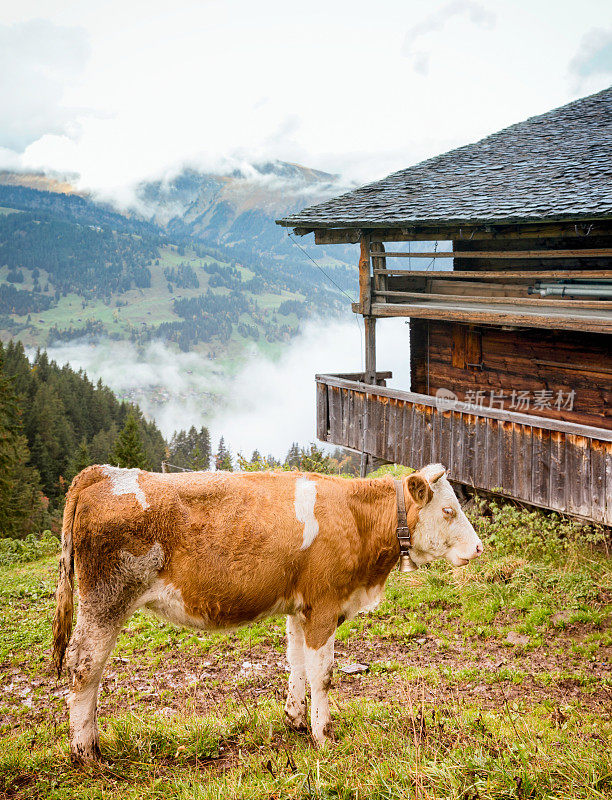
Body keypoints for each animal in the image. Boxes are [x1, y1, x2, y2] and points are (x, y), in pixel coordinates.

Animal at [52, 462, 482, 764]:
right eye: (448, 510)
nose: (478, 548)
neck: (357, 520)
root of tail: (105, 473)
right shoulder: (325, 605)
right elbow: (323, 675)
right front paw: (324, 735)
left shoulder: (300, 608)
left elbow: (296, 663)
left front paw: (296, 720)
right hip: (106, 600)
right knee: (84, 667)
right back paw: (87, 752)